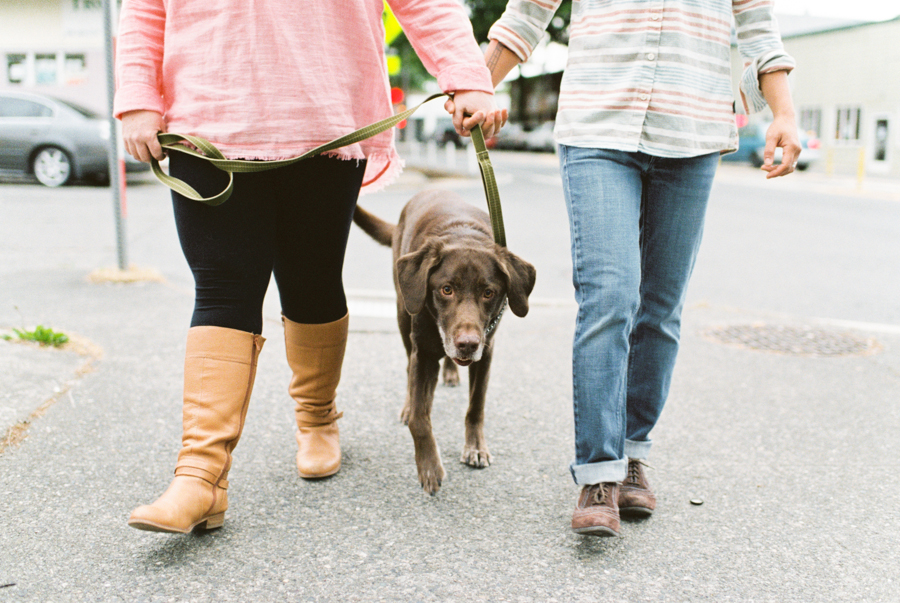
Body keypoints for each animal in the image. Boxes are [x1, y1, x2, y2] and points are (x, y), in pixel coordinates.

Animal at [352, 190, 536, 496]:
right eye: (446, 289)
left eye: (489, 292)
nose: (467, 344)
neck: (462, 234)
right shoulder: (424, 352)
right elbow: (420, 418)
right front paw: (429, 467)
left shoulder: (486, 351)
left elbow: (476, 406)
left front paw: (475, 447)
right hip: (403, 312)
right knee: (408, 368)